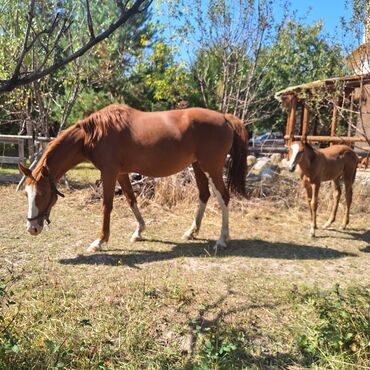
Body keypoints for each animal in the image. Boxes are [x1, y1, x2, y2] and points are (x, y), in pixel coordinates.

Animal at [18, 104, 247, 251]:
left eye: (43, 193)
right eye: (27, 193)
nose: (32, 228)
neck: (95, 133)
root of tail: (225, 118)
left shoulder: (109, 172)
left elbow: (107, 205)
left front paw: (100, 241)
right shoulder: (121, 173)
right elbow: (131, 199)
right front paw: (139, 231)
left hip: (212, 168)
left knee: (223, 197)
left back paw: (222, 239)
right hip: (198, 166)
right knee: (204, 195)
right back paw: (191, 232)